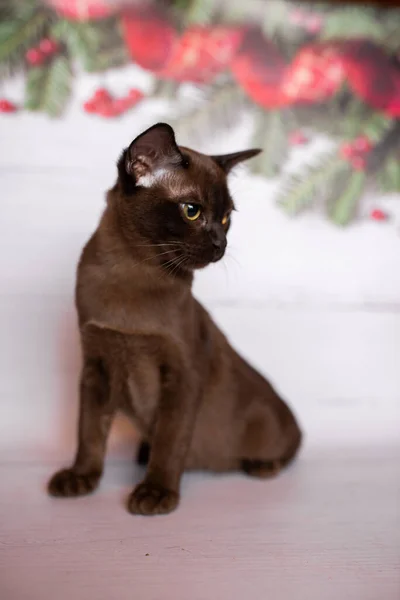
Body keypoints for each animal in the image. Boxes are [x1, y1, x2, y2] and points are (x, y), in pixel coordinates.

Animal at [48, 123, 302, 516]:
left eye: (227, 218)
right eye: (192, 211)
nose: (219, 245)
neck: (133, 273)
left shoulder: (182, 376)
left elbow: (170, 440)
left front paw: (155, 494)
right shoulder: (96, 367)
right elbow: (89, 432)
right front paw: (80, 479)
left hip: (269, 425)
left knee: (289, 445)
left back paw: (262, 466)